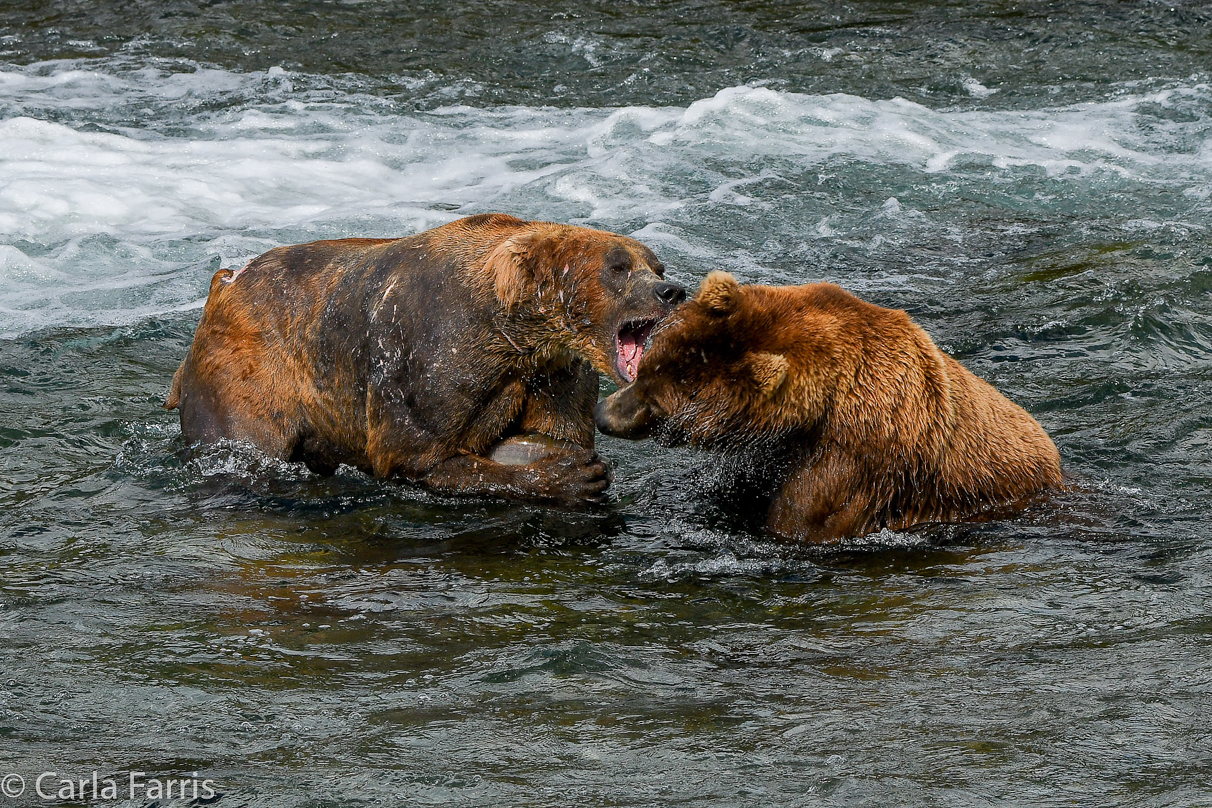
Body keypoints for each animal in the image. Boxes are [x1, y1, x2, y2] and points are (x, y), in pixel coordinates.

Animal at [166, 214, 688, 506]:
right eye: (618, 268)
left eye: (655, 265)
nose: (671, 290)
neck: (516, 330)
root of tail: (225, 284)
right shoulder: (430, 357)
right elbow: (416, 454)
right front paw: (568, 475)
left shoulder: (554, 373)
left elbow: (553, 430)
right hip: (248, 375)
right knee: (245, 446)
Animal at [593, 273, 1061, 542]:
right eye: (647, 367)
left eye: (662, 403)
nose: (603, 414)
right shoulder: (773, 449)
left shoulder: (854, 458)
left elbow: (799, 523)